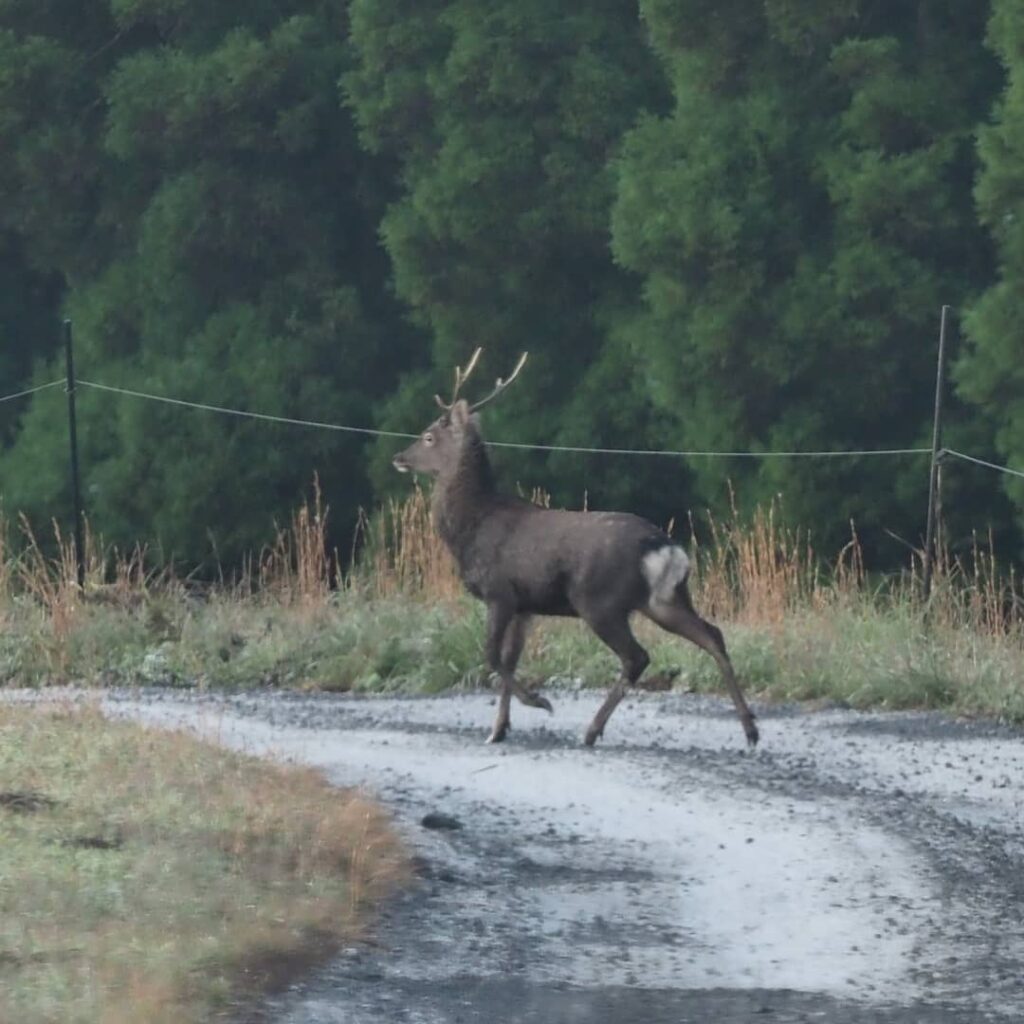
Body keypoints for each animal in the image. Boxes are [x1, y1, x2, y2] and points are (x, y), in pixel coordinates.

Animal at [391, 348, 761, 749]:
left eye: (429, 436)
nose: (399, 457)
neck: (471, 528)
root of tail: (665, 549)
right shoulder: (525, 605)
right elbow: (509, 658)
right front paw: (499, 728)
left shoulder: (499, 592)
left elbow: (491, 656)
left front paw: (538, 702)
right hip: (665, 599)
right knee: (712, 635)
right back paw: (750, 728)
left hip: (599, 600)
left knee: (637, 657)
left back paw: (592, 730)